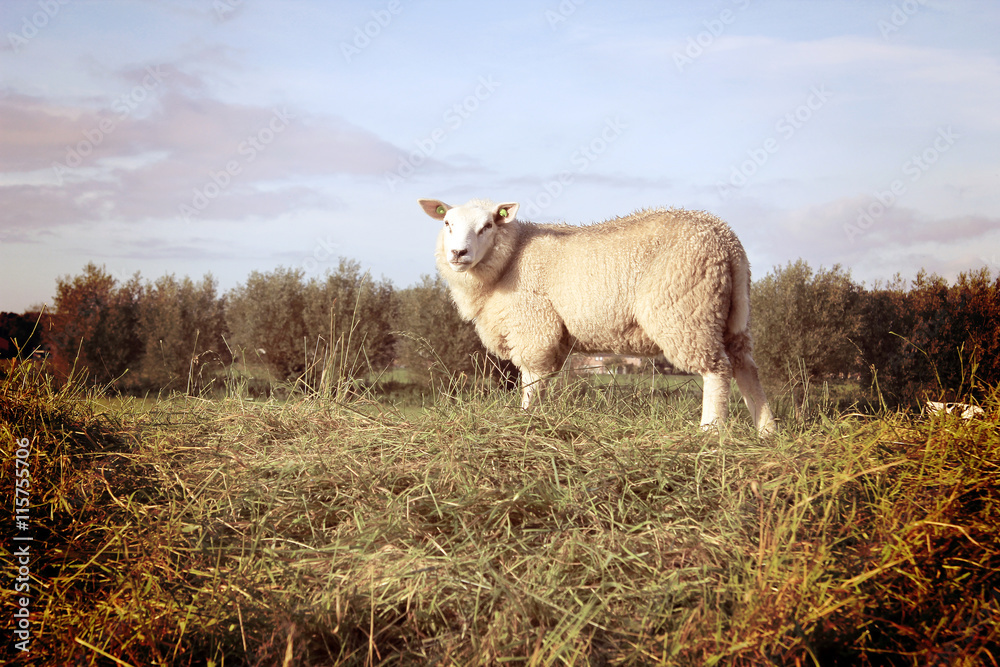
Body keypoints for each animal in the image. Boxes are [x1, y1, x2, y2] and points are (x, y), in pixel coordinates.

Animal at [418, 197, 776, 438]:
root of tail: (727, 240)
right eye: (447, 224)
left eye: (488, 225)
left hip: (687, 311)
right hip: (730, 315)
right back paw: (766, 430)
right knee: (746, 367)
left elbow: (531, 381)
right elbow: (542, 383)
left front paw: (525, 420)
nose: (458, 254)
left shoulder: (534, 328)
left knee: (717, 370)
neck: (510, 258)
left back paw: (710, 432)